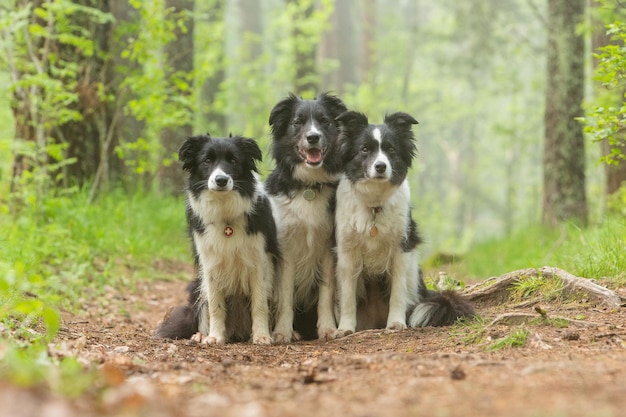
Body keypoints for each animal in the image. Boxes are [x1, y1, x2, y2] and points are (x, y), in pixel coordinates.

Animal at [154, 134, 278, 344]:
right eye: (207, 161)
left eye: (234, 161)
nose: (221, 180)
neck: (224, 210)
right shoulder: (210, 263)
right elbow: (215, 305)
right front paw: (215, 337)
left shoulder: (260, 261)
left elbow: (260, 303)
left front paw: (262, 336)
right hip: (196, 287)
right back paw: (199, 335)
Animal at [266, 92, 348, 342]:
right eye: (297, 122)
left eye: (324, 121)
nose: (313, 137)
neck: (309, 186)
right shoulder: (285, 249)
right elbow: (285, 294)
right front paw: (282, 332)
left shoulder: (328, 247)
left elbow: (326, 291)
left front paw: (328, 328)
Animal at [334, 111, 470, 338]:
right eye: (364, 149)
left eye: (390, 149)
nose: (381, 166)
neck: (375, 204)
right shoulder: (347, 250)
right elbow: (347, 296)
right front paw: (344, 328)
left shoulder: (402, 248)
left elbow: (398, 291)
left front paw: (396, 323)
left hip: (414, 274)